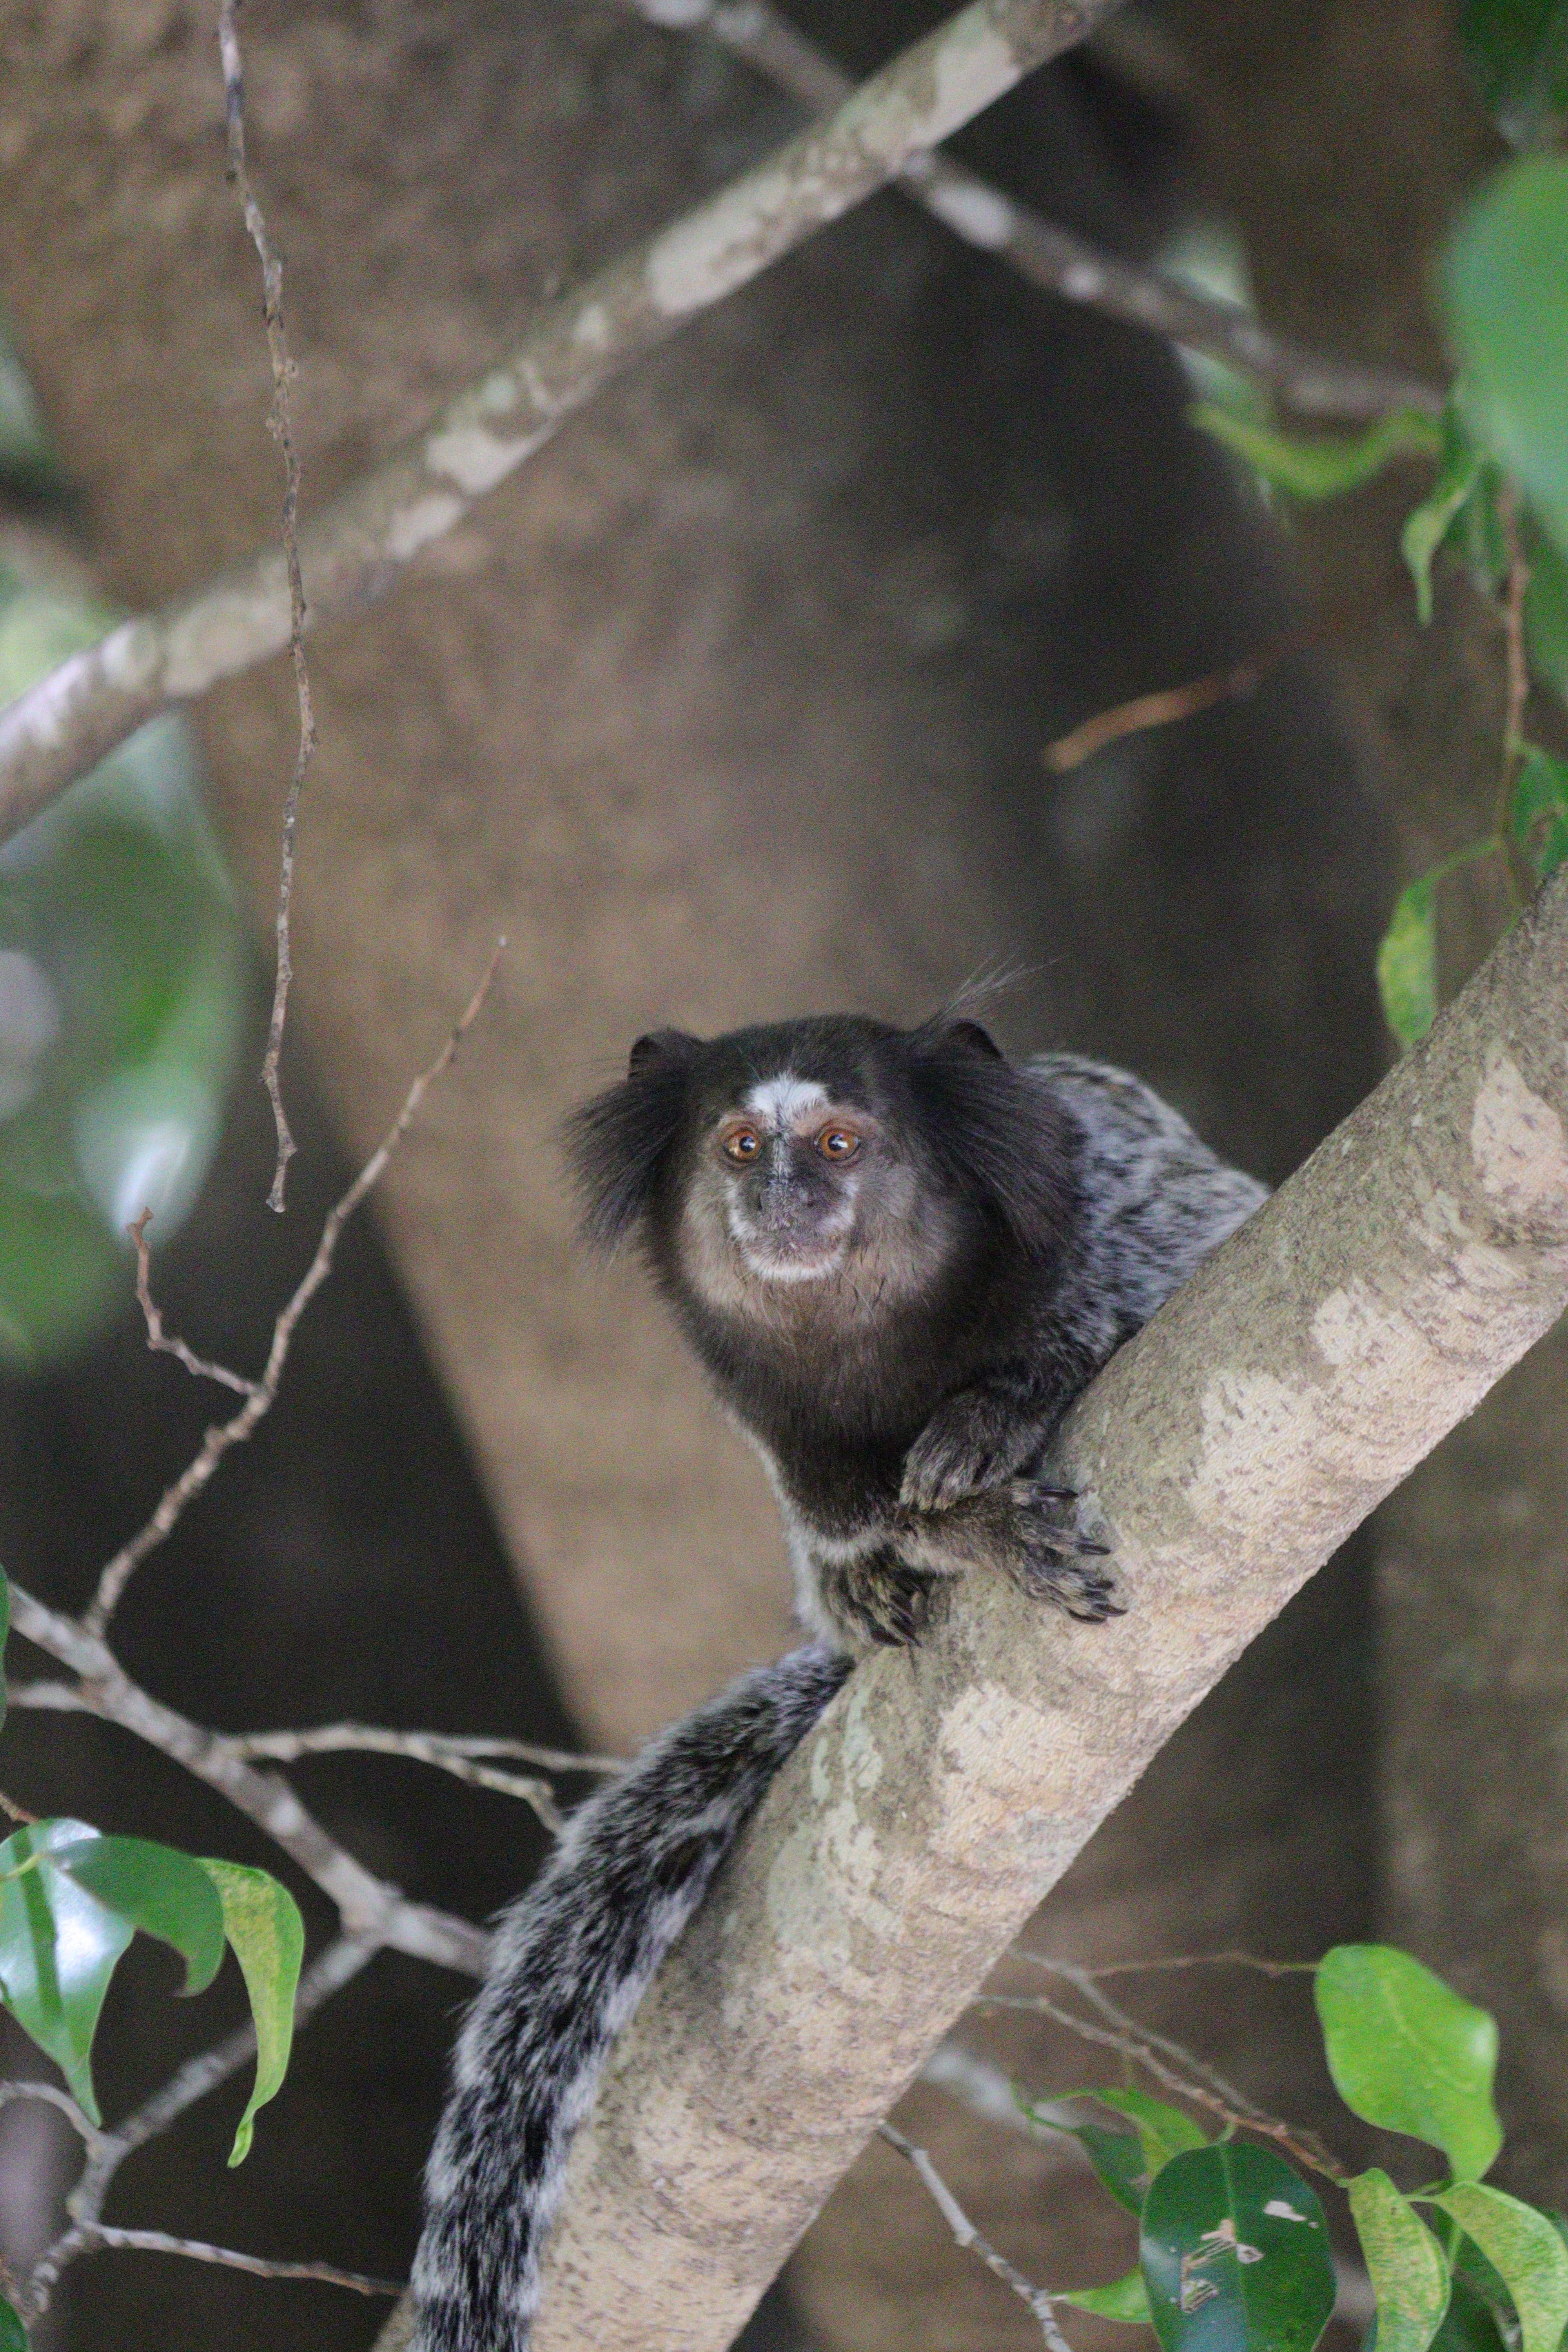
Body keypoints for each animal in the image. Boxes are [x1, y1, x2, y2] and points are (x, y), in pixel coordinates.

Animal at [410, 1012, 1266, 2352]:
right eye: (740, 1144)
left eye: (840, 1143)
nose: (783, 1196)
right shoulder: (783, 1431)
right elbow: (866, 1524)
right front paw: (963, 1531)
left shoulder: (1127, 1207)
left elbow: (1188, 1252)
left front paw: (992, 1417)